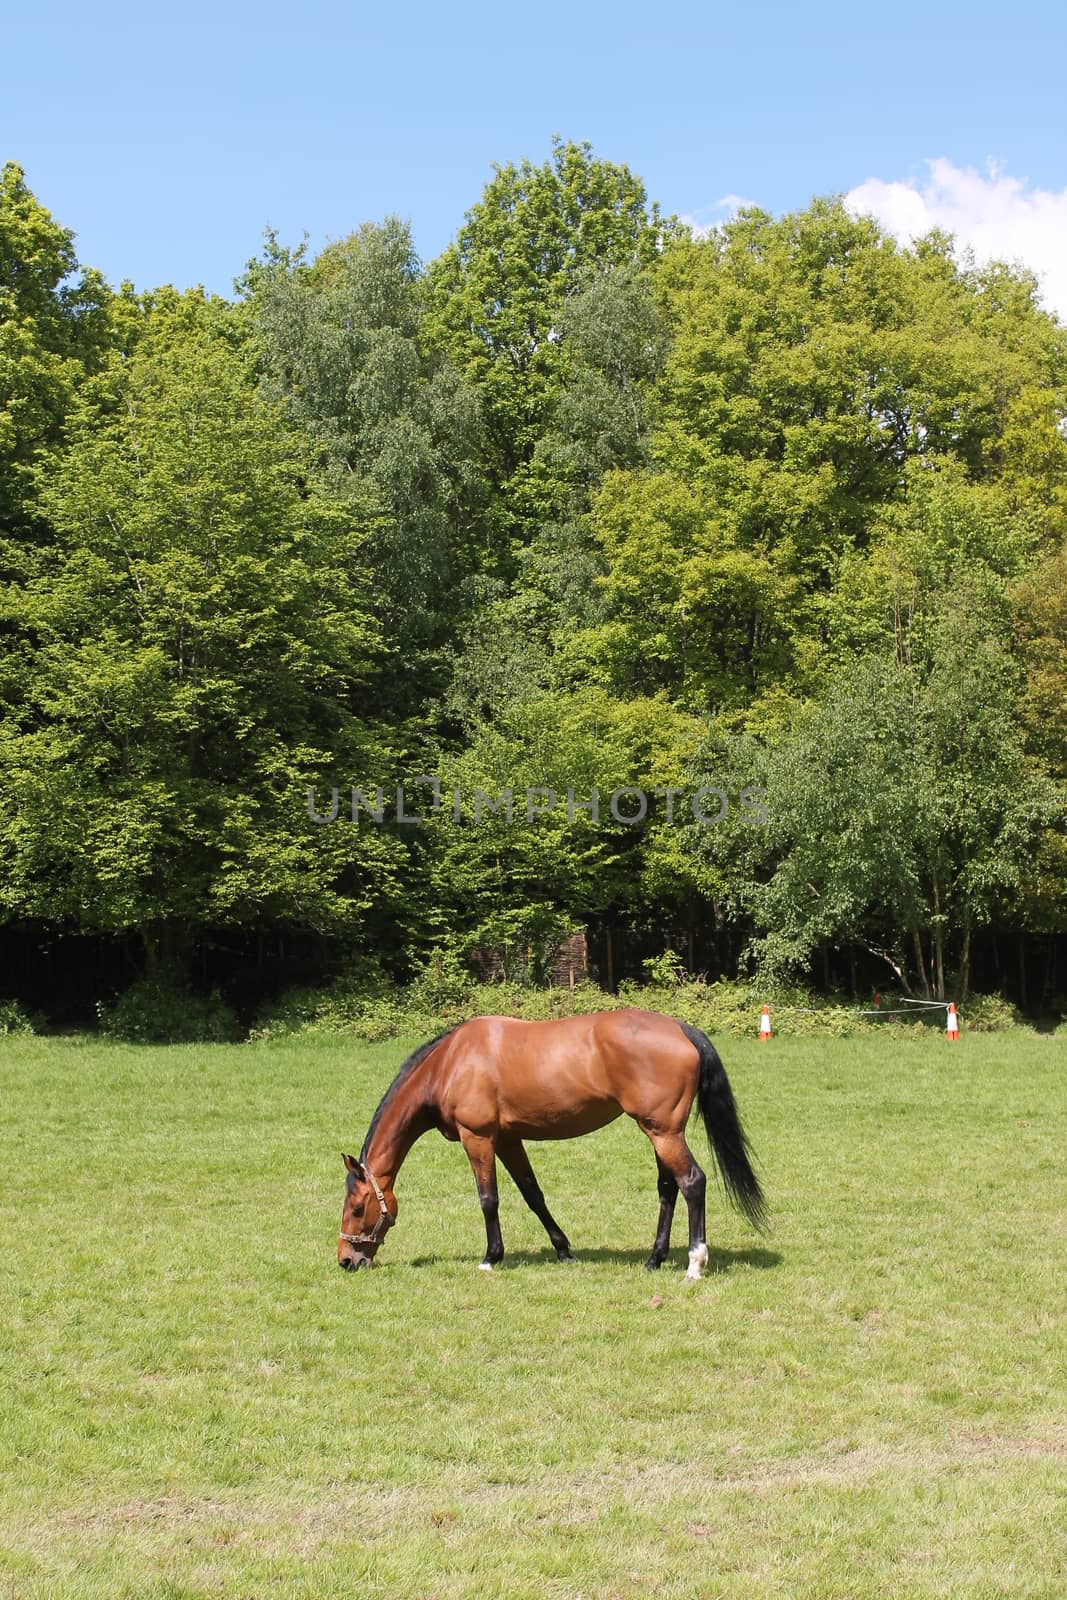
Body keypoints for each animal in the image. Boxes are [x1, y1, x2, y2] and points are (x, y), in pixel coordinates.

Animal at [337, 1011, 764, 1273]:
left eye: (358, 1208)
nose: (346, 1260)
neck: (450, 1063)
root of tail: (680, 1028)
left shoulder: (478, 1138)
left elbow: (488, 1199)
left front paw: (491, 1257)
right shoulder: (509, 1140)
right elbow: (533, 1195)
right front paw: (563, 1249)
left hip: (663, 1133)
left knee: (692, 1182)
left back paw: (695, 1262)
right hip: (661, 1133)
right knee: (668, 1189)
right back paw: (653, 1259)